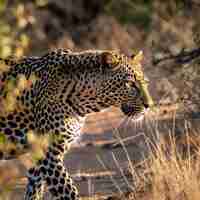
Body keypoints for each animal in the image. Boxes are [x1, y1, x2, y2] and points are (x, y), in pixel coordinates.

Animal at [0, 48, 154, 200]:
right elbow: (68, 191)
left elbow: (34, 191)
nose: (149, 105)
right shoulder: (49, 154)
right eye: (130, 84)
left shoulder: (38, 159)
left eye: (146, 83)